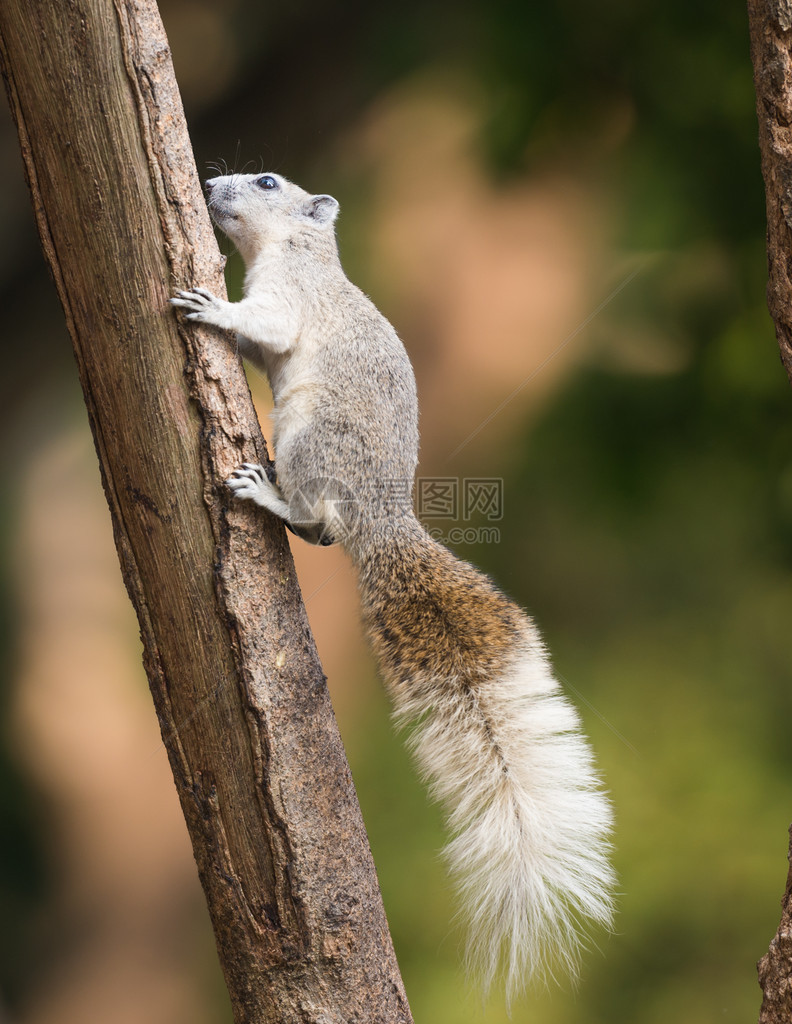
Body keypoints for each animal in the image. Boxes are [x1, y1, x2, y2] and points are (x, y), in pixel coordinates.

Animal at [171, 172, 618, 995]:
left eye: (267, 181)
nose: (212, 185)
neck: (297, 250)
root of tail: (380, 521)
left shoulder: (293, 298)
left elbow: (265, 324)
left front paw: (211, 308)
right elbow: (254, 345)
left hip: (315, 441)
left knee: (316, 517)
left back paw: (267, 494)